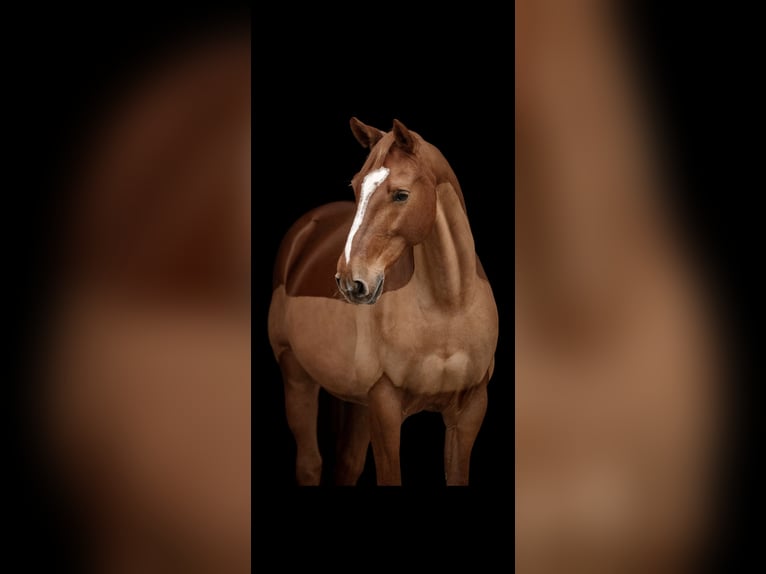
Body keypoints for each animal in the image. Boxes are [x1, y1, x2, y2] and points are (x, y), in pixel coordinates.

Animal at [268, 118, 498, 486]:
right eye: (356, 186)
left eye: (401, 194)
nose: (351, 281)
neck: (448, 306)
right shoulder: (385, 405)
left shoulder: (470, 410)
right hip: (296, 375)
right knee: (309, 464)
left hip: (357, 402)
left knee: (347, 465)